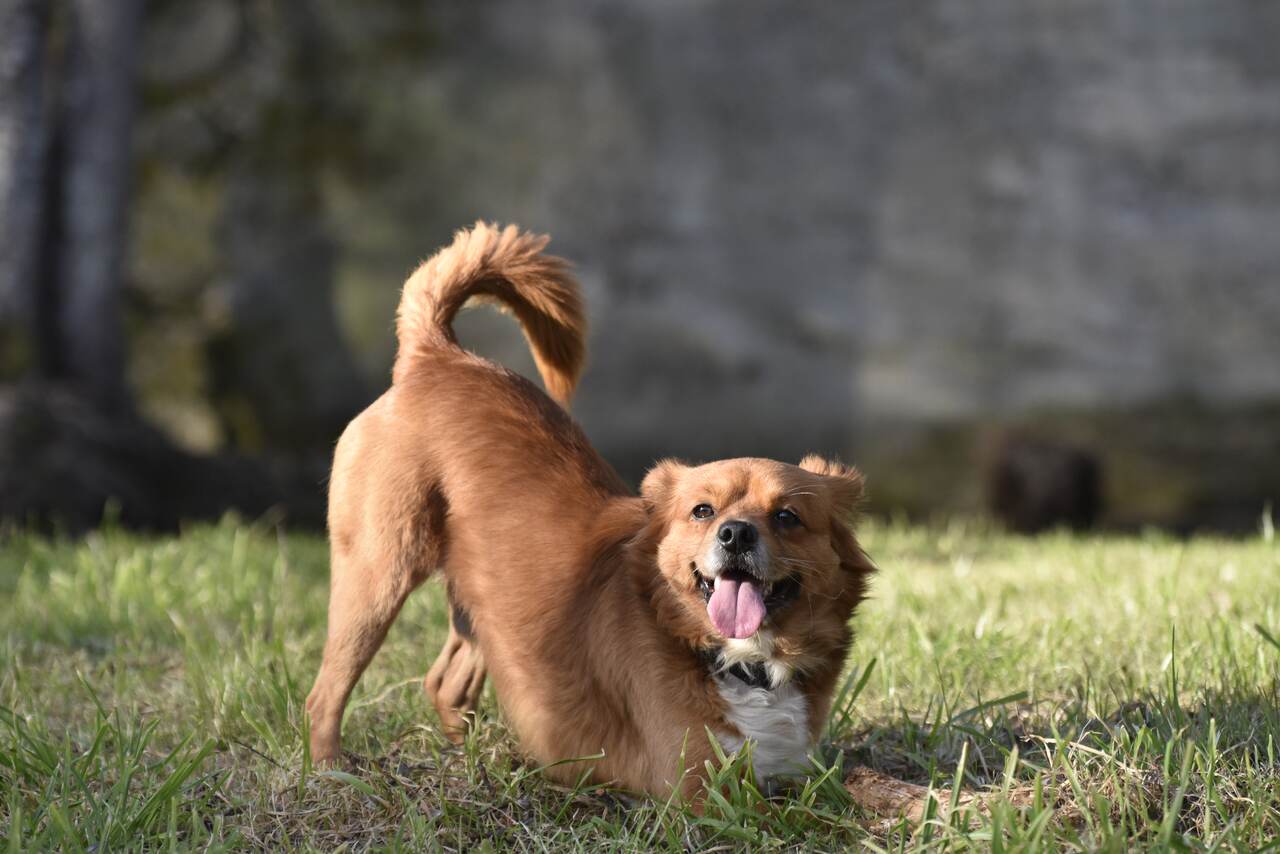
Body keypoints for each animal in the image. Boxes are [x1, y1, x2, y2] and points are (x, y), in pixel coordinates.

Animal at [304, 224, 875, 798]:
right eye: (702, 511)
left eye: (787, 517)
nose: (734, 534)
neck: (742, 662)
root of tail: (438, 355)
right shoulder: (695, 789)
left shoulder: (798, 773)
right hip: (376, 576)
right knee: (324, 695)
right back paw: (331, 772)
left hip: (481, 604)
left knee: (446, 684)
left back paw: (473, 766)